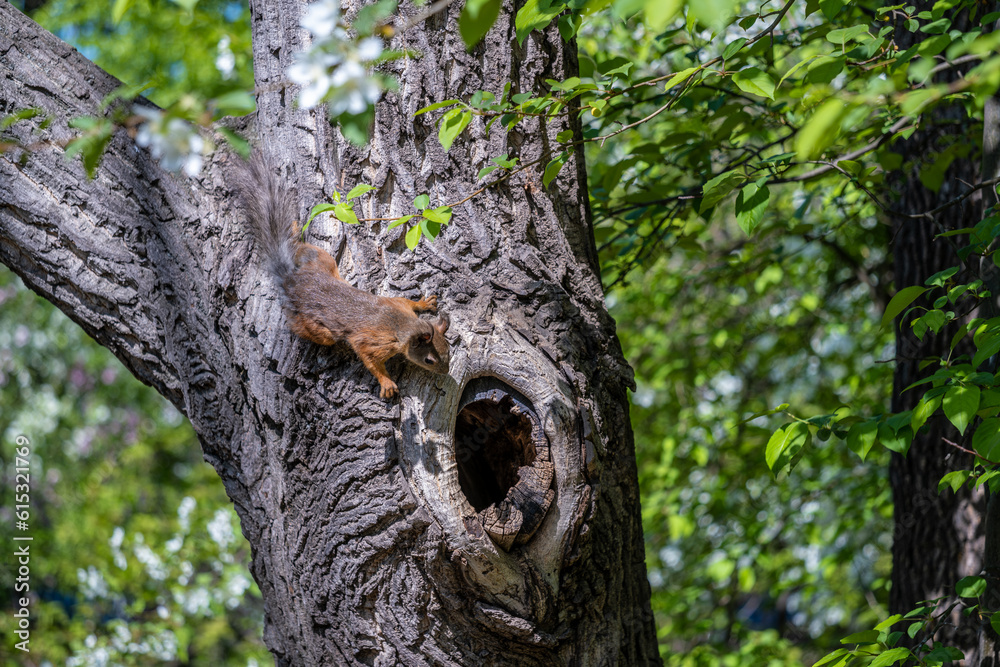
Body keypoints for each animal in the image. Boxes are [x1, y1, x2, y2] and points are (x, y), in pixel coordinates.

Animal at [238, 155, 450, 398]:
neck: (402, 325)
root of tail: (292, 280)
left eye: (448, 348)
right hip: (319, 329)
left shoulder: (398, 304)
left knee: (301, 249)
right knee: (302, 327)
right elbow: (370, 359)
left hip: (322, 261)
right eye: (429, 360)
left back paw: (293, 231)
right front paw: (387, 383)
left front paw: (425, 303)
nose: (446, 372)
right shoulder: (375, 343)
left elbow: (407, 300)